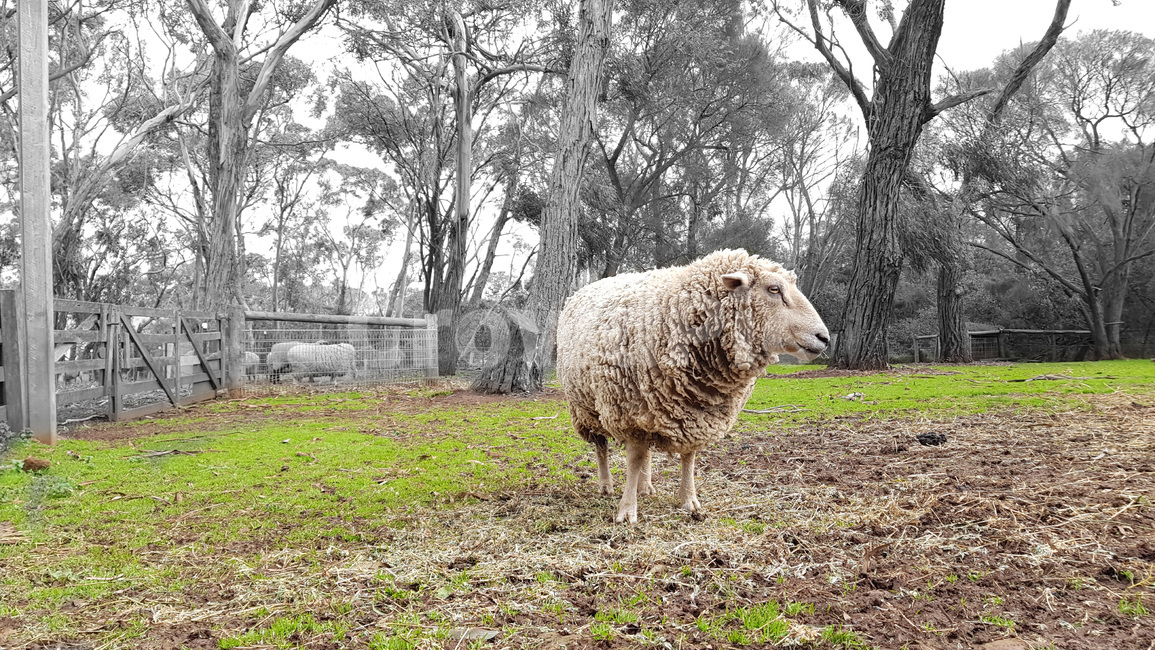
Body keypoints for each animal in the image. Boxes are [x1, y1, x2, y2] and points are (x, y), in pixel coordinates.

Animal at [556, 249, 829, 523]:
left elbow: (687, 458)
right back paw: (606, 485)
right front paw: (627, 510)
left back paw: (645, 486)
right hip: (586, 406)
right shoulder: (628, 411)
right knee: (602, 446)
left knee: (646, 453)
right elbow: (633, 459)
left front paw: (689, 501)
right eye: (774, 289)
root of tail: (583, 289)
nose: (824, 338)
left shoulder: (693, 415)